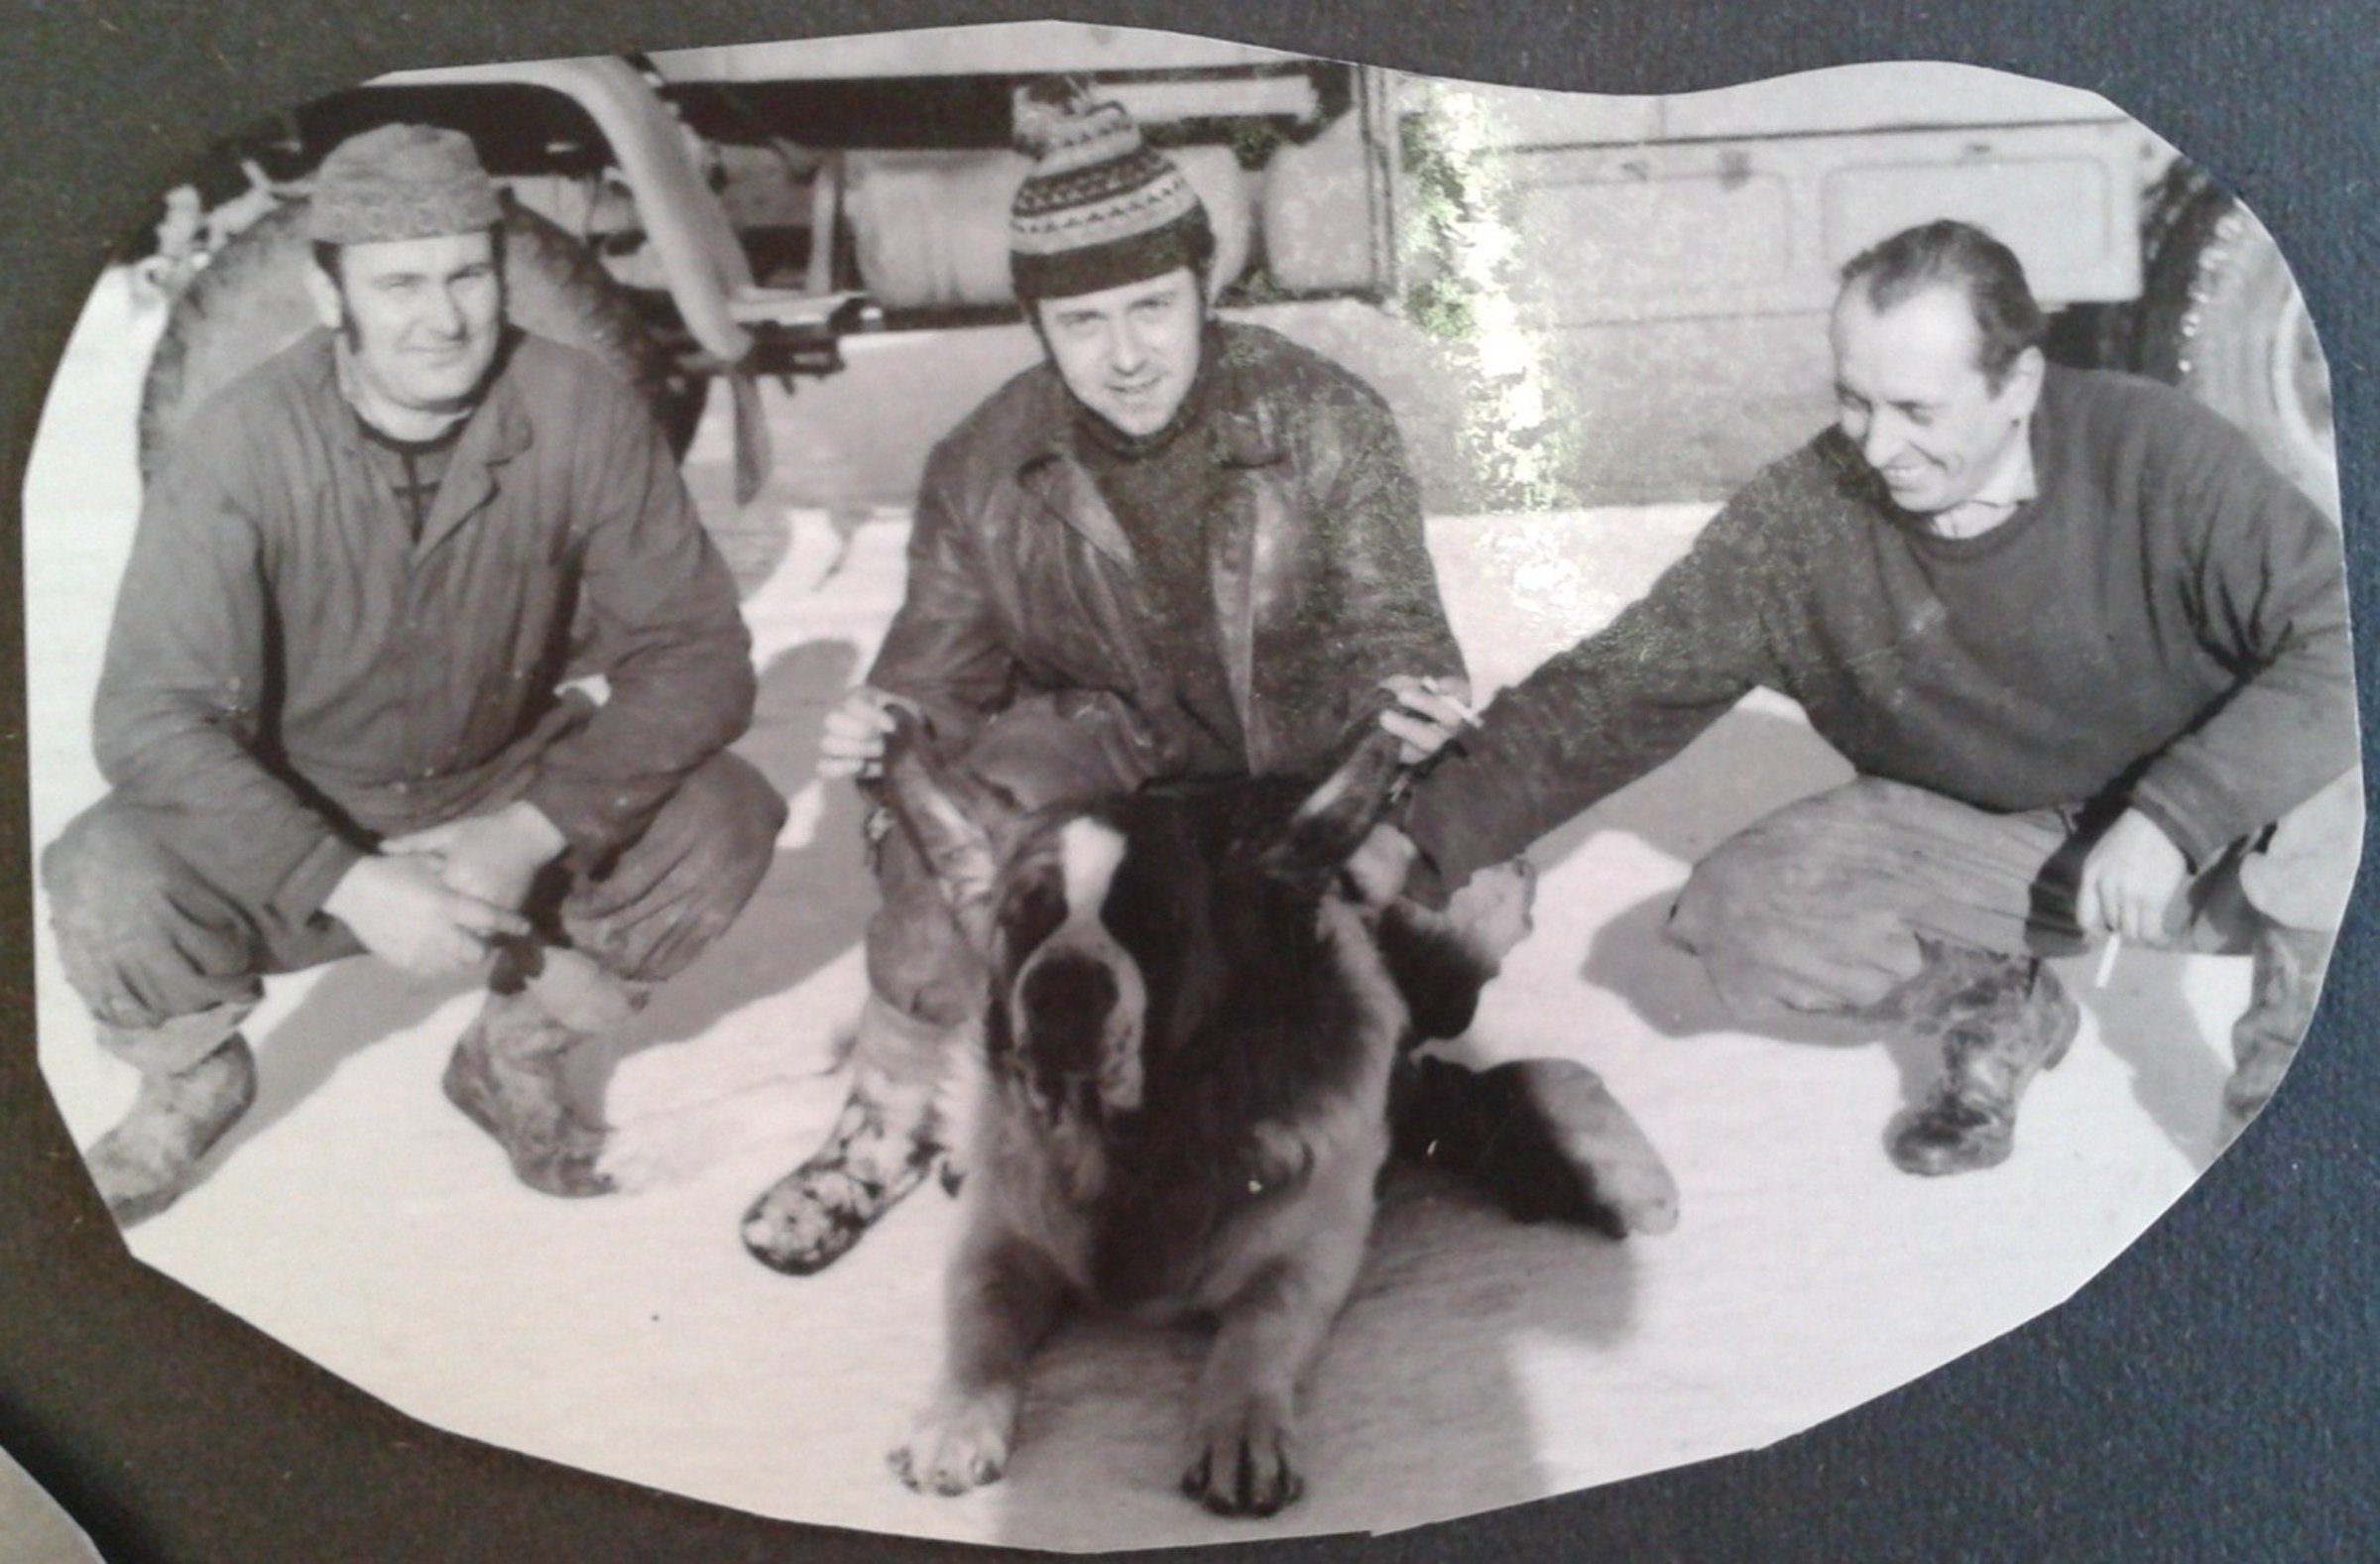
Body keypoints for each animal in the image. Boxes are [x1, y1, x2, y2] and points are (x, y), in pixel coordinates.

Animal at [880, 711, 1677, 1515]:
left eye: (1157, 922)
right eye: (1022, 920)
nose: (1062, 988)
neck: (1142, 1138)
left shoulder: (1310, 1247)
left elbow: (1259, 1323)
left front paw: (1240, 1426)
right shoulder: (1001, 1232)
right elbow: (979, 1314)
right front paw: (955, 1415)